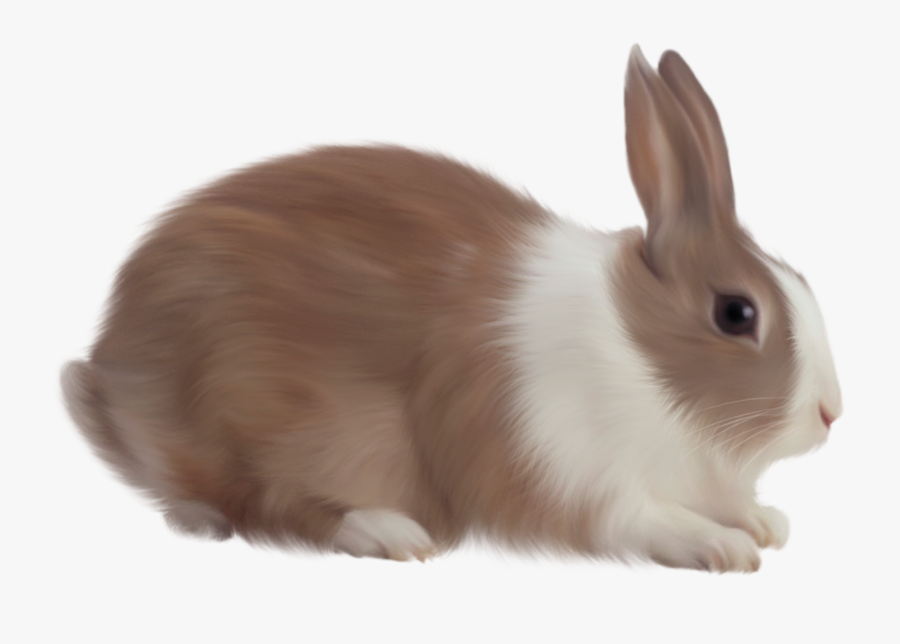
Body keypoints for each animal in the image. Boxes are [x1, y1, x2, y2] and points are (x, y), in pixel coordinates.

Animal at [61, 45, 842, 572]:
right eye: (736, 314)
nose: (831, 414)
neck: (639, 353)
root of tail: (110, 376)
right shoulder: (567, 475)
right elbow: (641, 519)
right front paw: (724, 545)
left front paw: (766, 521)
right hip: (271, 409)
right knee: (268, 504)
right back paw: (385, 532)